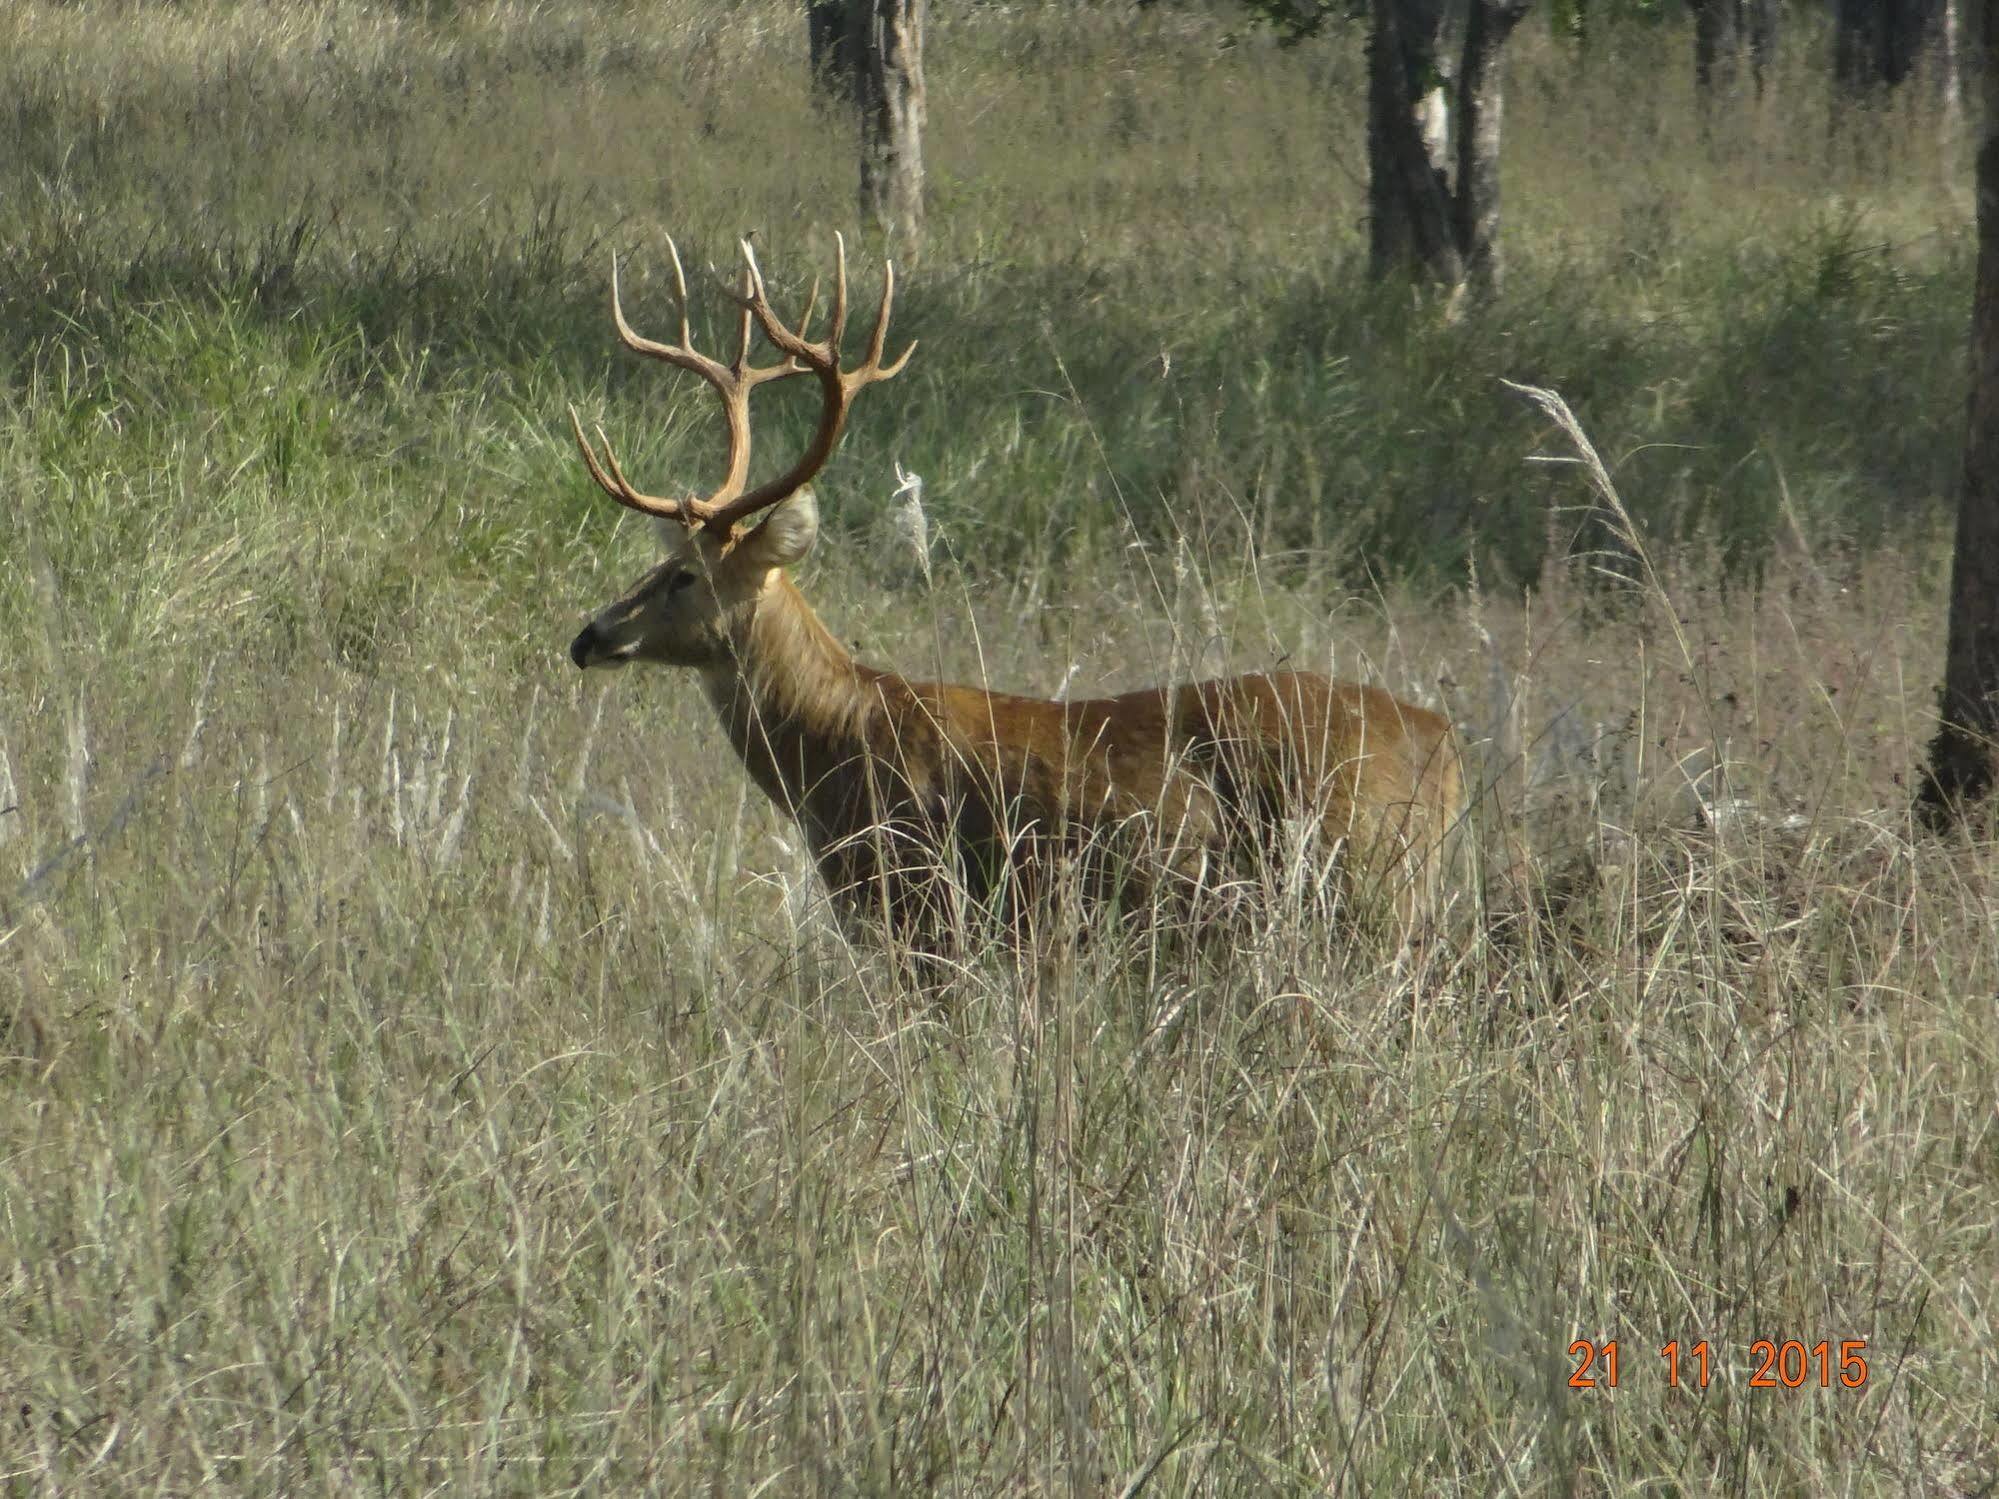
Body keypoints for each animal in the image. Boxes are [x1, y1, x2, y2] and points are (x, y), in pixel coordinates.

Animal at [567, 234, 1471, 963]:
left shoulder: (924, 905)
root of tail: (1446, 744)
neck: (837, 746)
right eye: (662, 559)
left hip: (1367, 880)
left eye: (685, 574)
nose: (589, 635)